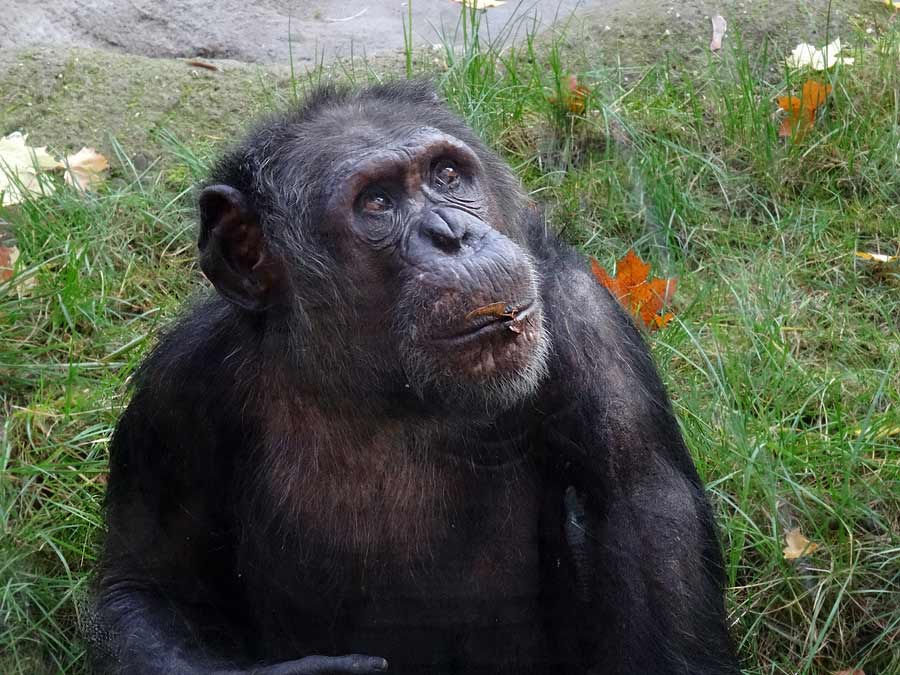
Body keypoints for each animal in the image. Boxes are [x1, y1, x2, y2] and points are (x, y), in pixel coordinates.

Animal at [89, 80, 740, 675]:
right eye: (377, 203)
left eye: (447, 175)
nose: (453, 236)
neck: (380, 384)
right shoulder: (178, 392)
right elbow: (144, 588)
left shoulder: (586, 316)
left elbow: (648, 520)